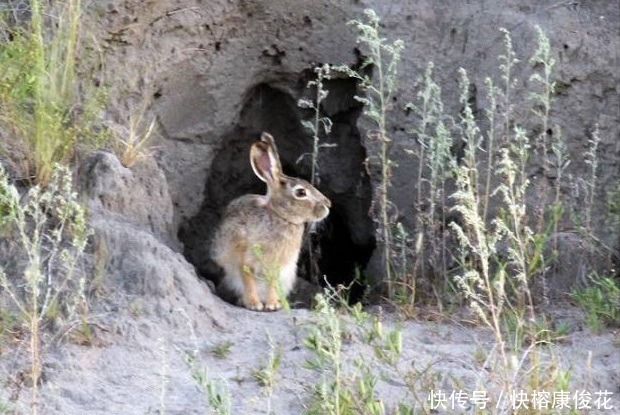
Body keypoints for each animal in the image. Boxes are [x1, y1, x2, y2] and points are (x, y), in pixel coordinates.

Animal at [212, 132, 332, 310]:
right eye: (301, 192)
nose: (328, 204)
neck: (280, 215)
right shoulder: (242, 254)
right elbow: (247, 278)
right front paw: (254, 304)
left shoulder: (278, 265)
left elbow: (273, 282)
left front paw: (273, 305)